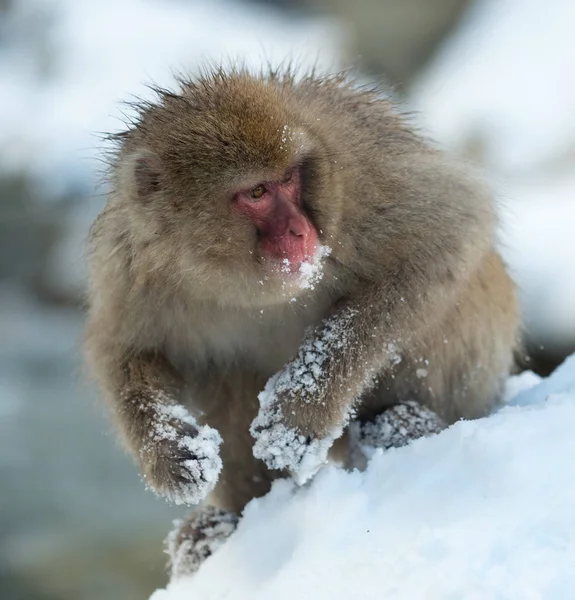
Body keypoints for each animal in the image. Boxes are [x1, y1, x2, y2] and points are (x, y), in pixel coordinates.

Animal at [83, 65, 520, 576]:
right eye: (256, 192)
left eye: (290, 179)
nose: (299, 230)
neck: (232, 276)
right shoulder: (130, 263)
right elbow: (125, 350)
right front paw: (168, 453)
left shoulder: (359, 178)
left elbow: (450, 231)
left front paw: (301, 408)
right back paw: (221, 526)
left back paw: (408, 425)